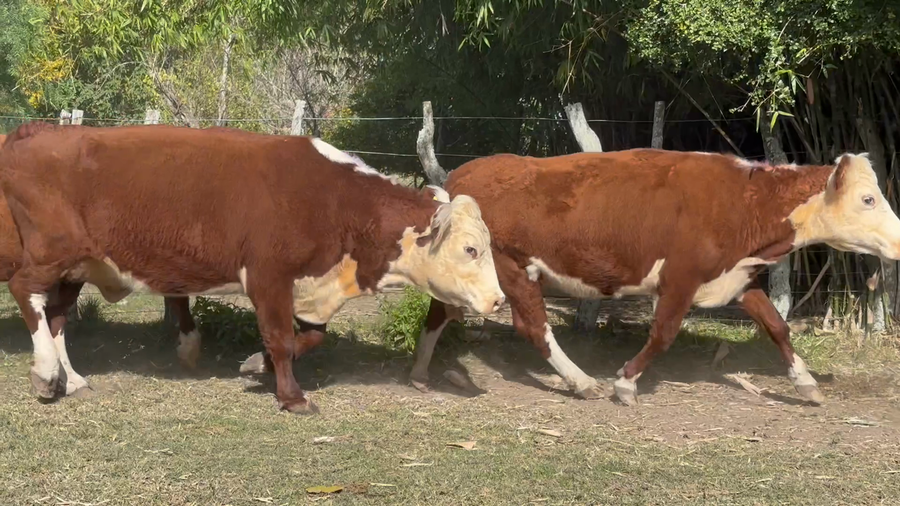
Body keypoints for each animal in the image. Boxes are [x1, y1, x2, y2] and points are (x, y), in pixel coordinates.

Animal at [0, 122, 505, 414]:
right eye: (470, 249)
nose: (498, 300)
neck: (335, 200)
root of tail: (33, 133)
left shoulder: (307, 287)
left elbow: (309, 338)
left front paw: (253, 364)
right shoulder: (268, 276)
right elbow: (281, 339)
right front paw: (292, 397)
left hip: (76, 267)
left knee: (55, 316)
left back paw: (73, 380)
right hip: (54, 253)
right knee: (26, 292)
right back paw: (45, 374)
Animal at [407, 149, 900, 406]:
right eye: (869, 199)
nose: (898, 241)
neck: (743, 201)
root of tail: (466, 174)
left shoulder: (738, 278)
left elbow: (778, 326)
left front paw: (806, 383)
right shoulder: (680, 279)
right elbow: (663, 333)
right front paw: (625, 383)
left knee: (440, 311)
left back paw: (420, 370)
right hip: (511, 267)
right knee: (533, 326)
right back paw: (581, 381)